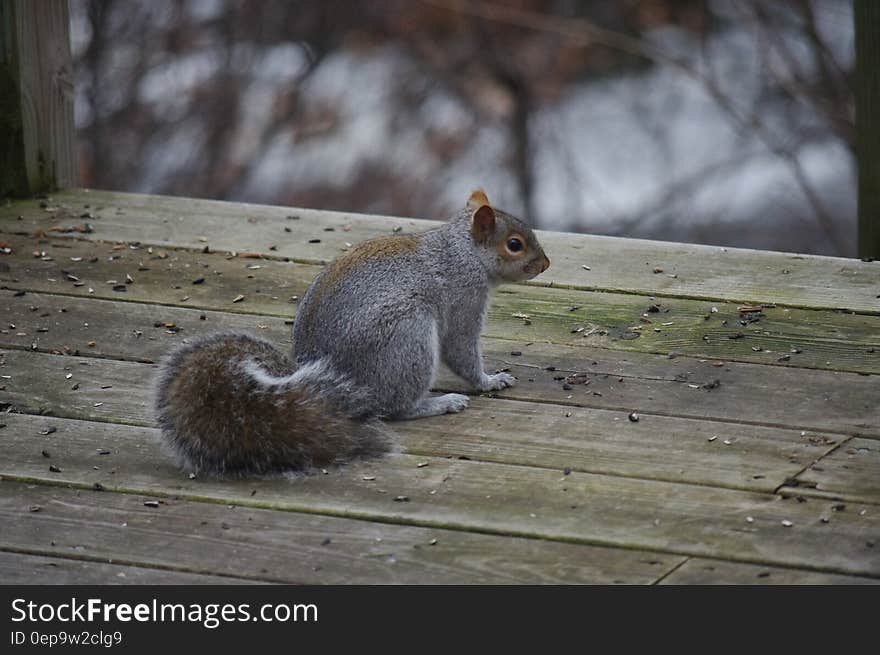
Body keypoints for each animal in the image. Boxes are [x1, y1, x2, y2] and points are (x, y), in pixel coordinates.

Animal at [153, 190, 552, 476]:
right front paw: (491, 380)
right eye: (514, 244)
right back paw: (440, 403)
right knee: (394, 407)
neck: (463, 252)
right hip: (407, 337)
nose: (546, 264)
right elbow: (461, 350)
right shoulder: (464, 299)